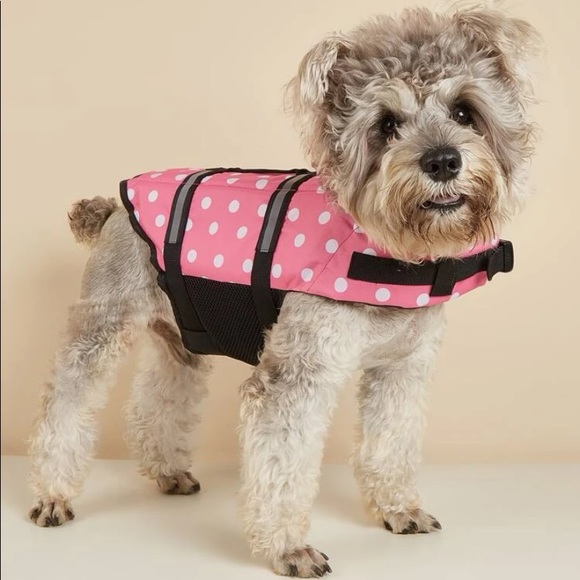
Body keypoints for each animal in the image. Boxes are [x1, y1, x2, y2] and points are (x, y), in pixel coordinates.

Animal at [27, 6, 541, 577]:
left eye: (465, 111)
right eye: (386, 124)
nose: (443, 160)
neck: (390, 253)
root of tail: (113, 206)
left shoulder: (400, 370)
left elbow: (392, 441)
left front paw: (397, 508)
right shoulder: (296, 377)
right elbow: (282, 466)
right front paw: (286, 547)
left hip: (180, 338)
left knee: (157, 398)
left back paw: (166, 470)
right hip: (101, 327)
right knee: (65, 402)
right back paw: (52, 493)